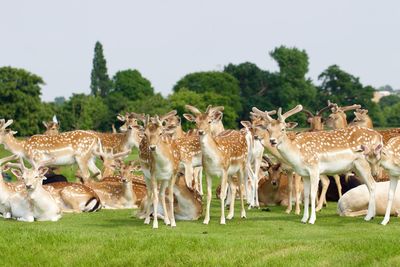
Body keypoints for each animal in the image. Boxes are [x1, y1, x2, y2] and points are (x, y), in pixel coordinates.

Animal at [252, 105, 382, 225]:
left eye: (283, 129)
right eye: (268, 129)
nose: (272, 141)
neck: (297, 152)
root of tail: (379, 136)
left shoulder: (314, 168)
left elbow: (313, 193)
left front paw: (311, 219)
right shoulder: (304, 173)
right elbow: (305, 195)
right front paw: (303, 219)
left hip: (365, 163)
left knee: (373, 185)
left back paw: (369, 216)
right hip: (357, 167)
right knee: (369, 185)